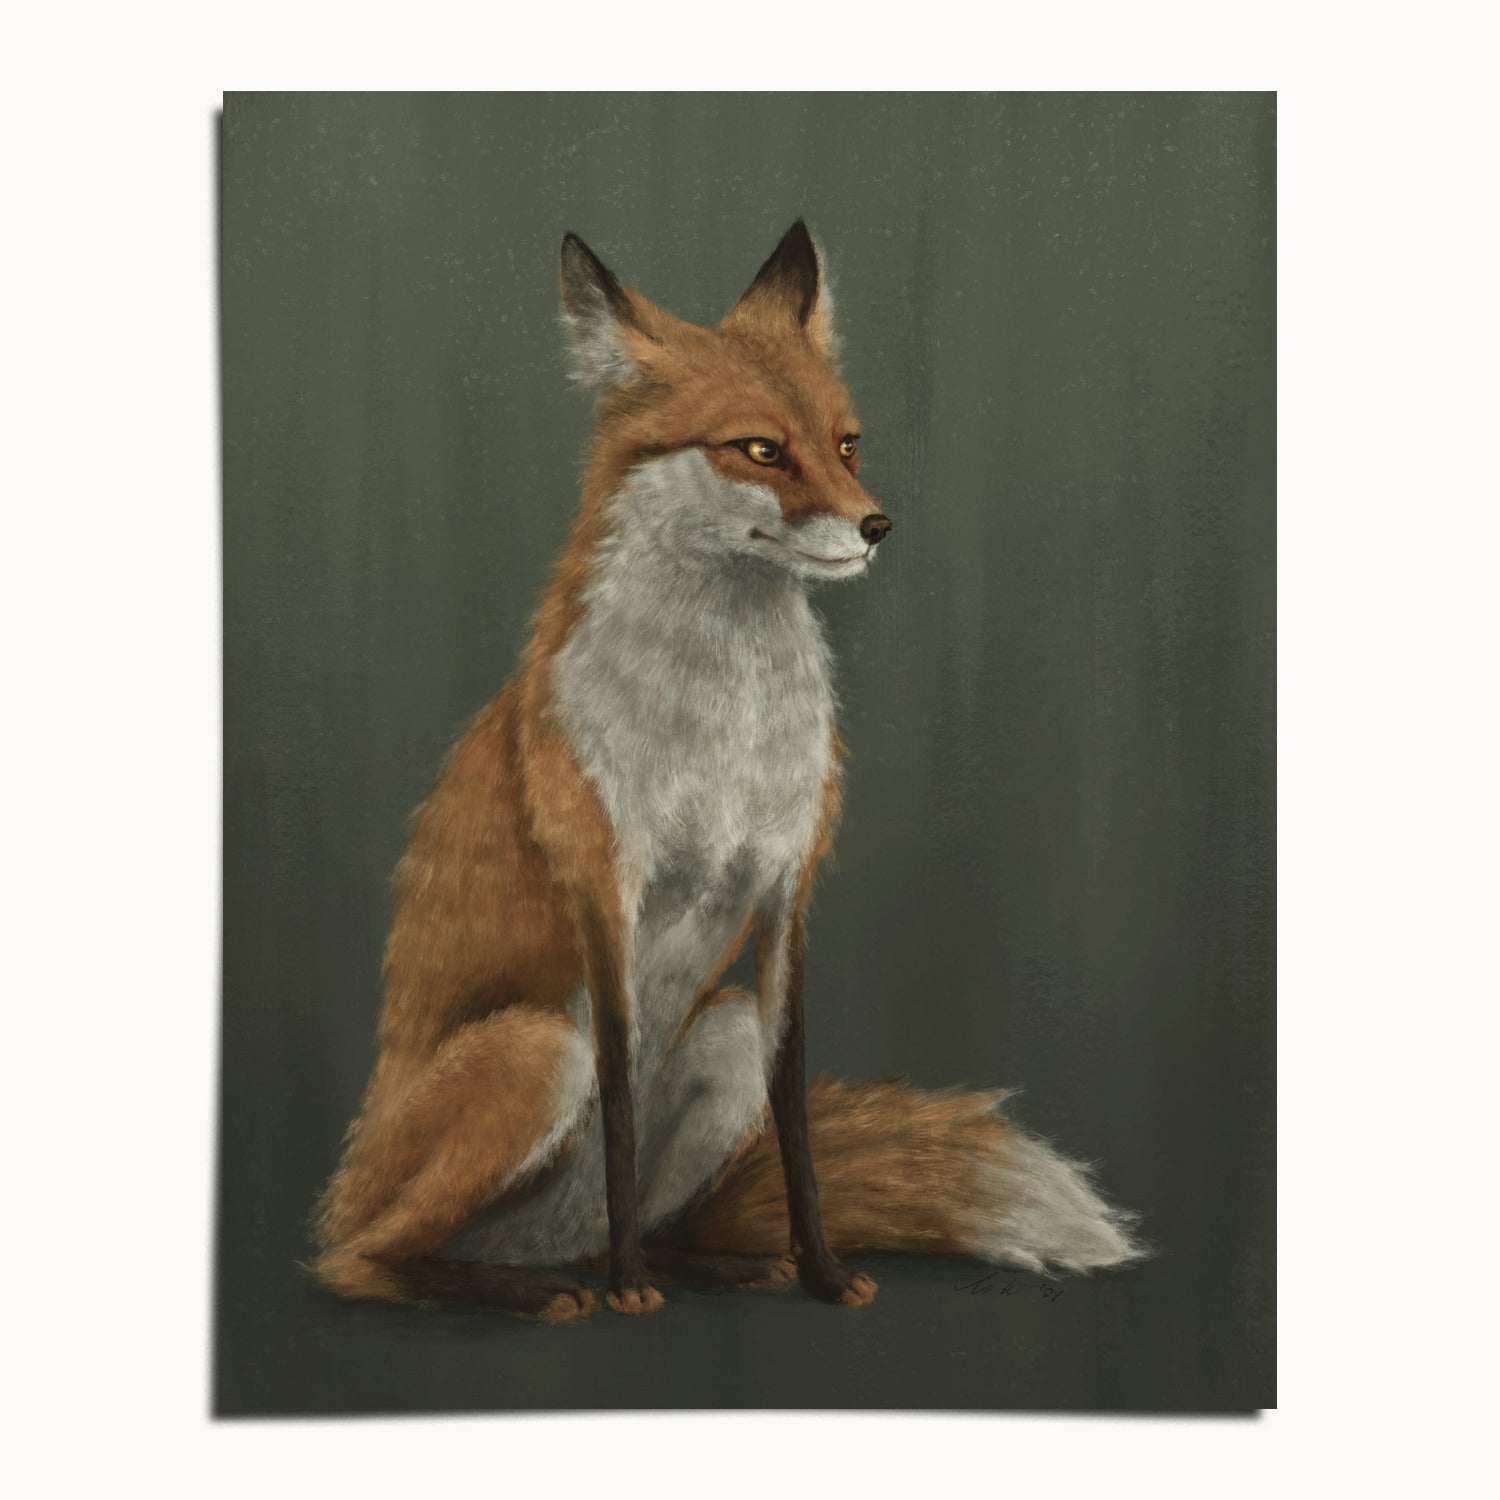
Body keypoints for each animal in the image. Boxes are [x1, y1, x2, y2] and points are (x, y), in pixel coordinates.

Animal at [311, 220, 1146, 1321]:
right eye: (759, 448)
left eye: (847, 442)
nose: (878, 526)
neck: (725, 732)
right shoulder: (605, 891)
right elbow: (621, 1098)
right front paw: (630, 1292)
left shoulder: (787, 889)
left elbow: (794, 1113)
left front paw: (822, 1272)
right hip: (535, 1052)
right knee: (360, 1260)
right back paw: (542, 1287)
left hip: (722, 1033)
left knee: (640, 1215)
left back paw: (704, 1264)